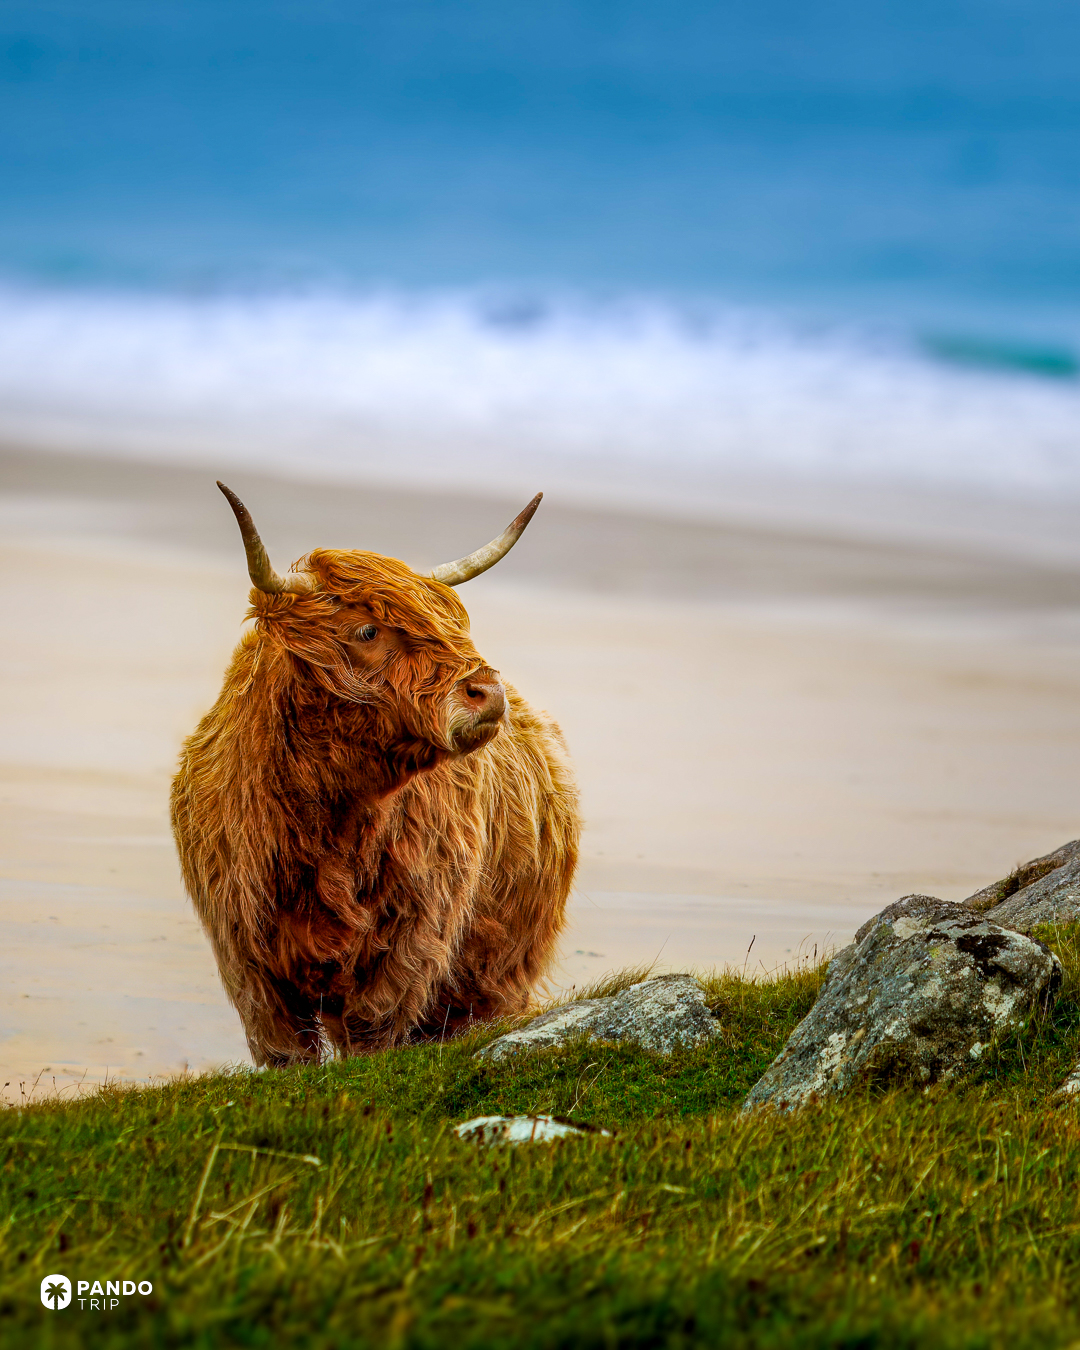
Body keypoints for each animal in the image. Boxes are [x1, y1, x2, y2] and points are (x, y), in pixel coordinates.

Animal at [170, 483, 580, 1066]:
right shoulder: (249, 963)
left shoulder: (408, 946)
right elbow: (286, 1051)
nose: (486, 691)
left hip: (499, 966)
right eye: (367, 630)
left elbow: (373, 1032)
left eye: (455, 624)